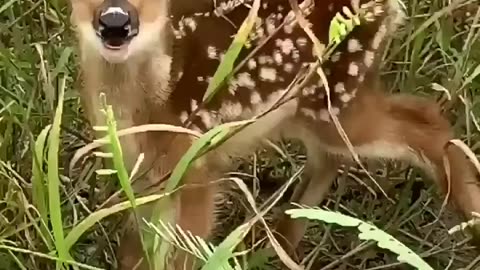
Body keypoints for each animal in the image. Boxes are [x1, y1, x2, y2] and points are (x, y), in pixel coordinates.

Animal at [67, 0, 480, 268]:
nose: (116, 21)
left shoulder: (198, 164)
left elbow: (183, 251)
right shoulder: (142, 173)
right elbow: (137, 248)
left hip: (338, 96)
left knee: (426, 121)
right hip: (310, 107)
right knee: (335, 155)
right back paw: (275, 244)